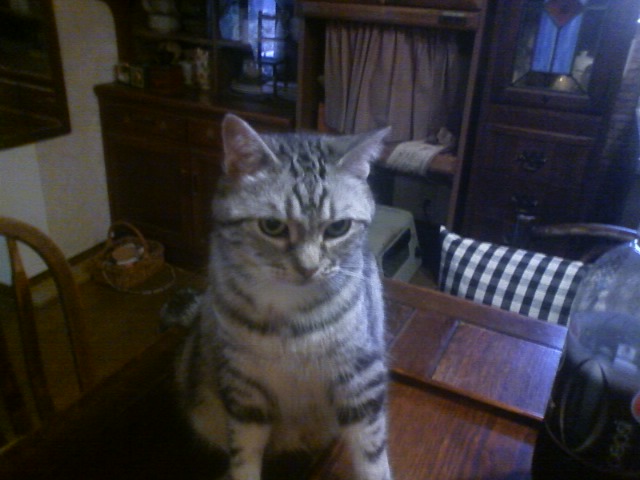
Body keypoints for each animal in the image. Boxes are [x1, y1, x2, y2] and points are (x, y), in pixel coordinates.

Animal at [168, 113, 393, 480]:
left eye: (338, 228)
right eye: (272, 227)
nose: (308, 268)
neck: (292, 316)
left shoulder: (361, 377)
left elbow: (371, 453)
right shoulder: (244, 387)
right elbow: (244, 453)